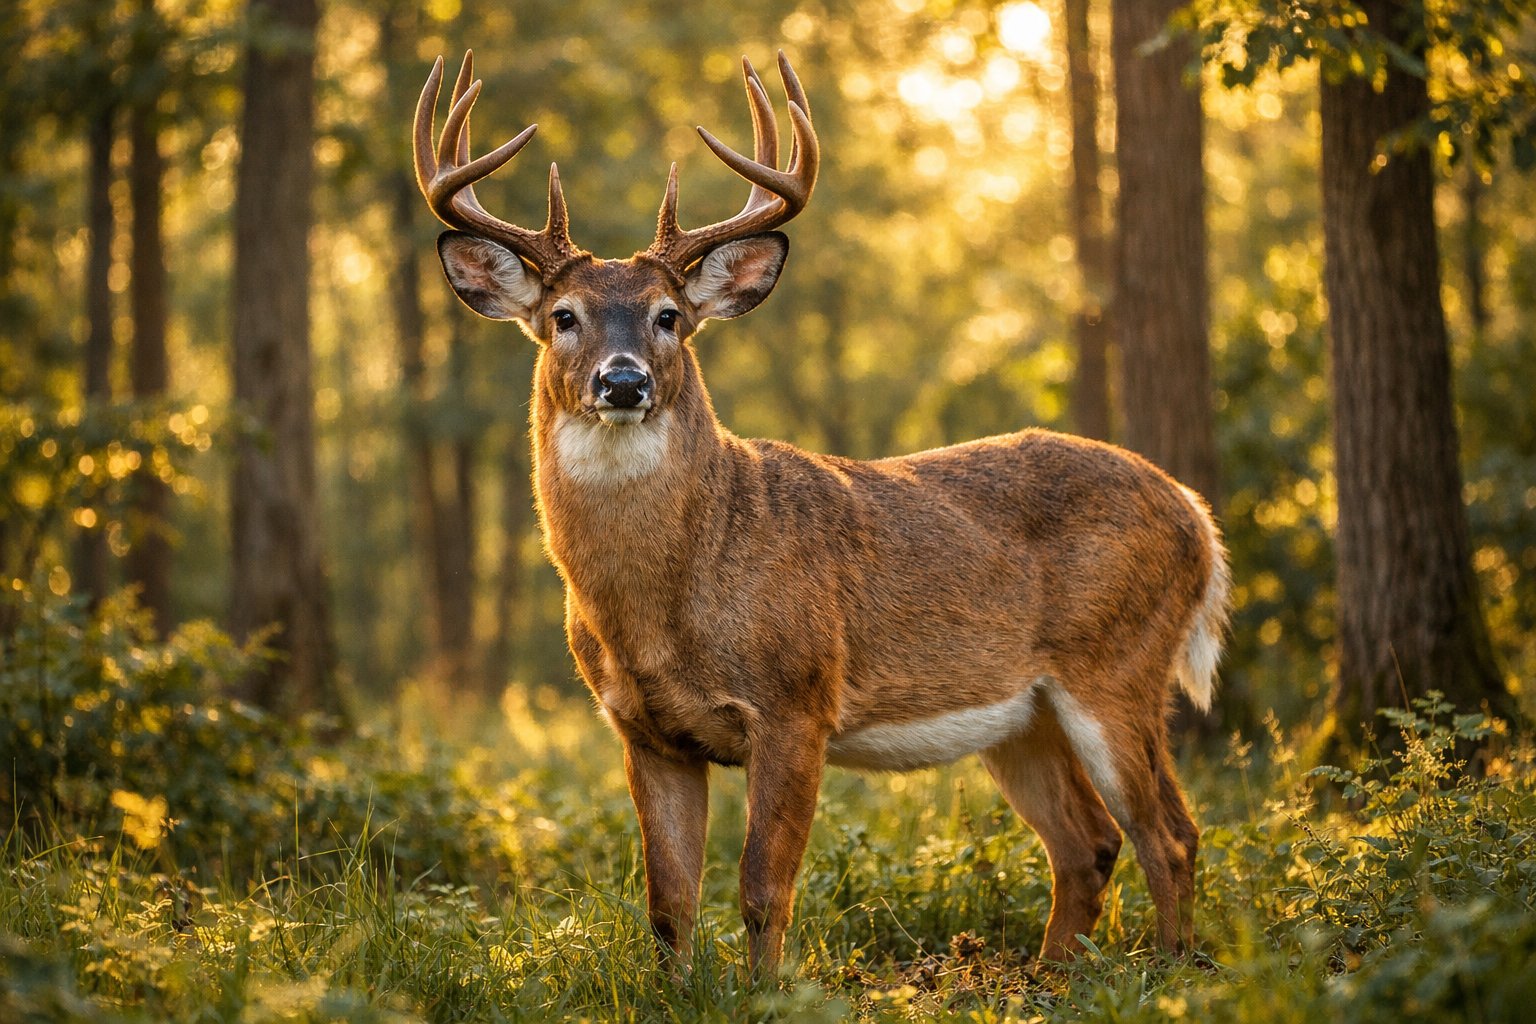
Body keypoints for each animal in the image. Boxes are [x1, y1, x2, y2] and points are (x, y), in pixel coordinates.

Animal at [413, 49, 1231, 975]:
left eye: (670, 318)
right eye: (562, 317)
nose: (623, 381)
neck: (669, 604)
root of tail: (1196, 515)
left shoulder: (796, 700)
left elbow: (764, 889)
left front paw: (766, 992)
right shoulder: (642, 729)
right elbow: (668, 904)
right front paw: (678, 990)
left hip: (1119, 665)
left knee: (1171, 834)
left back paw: (1169, 974)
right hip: (1025, 713)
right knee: (1088, 842)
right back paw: (1055, 980)